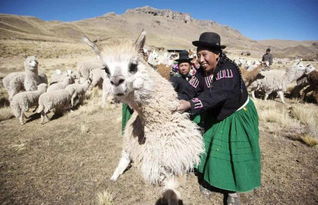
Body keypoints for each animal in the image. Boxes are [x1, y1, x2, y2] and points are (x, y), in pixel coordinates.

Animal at [84, 30, 204, 203]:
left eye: (133, 65)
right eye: (106, 69)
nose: (116, 82)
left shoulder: (177, 165)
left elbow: (172, 191)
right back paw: (114, 176)